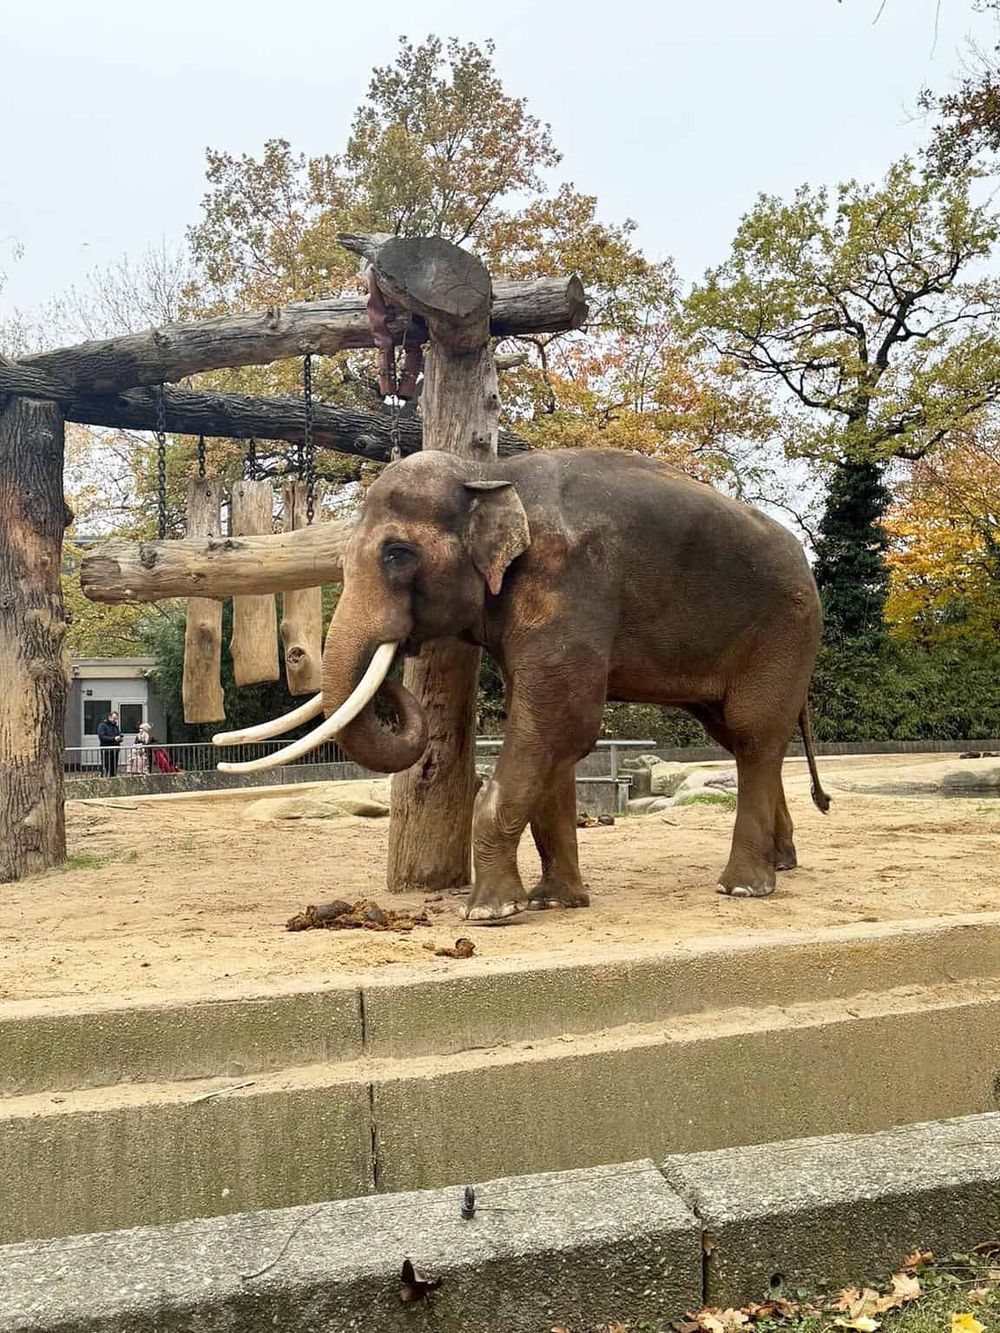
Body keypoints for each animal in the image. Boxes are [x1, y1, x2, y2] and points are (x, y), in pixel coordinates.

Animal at [220, 448, 830, 922]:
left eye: (398, 554)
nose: (398, 668)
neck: (489, 473)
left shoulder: (568, 584)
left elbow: (560, 721)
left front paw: (490, 912)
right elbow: (553, 737)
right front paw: (553, 901)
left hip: (786, 627)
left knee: (753, 733)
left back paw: (743, 887)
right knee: (742, 736)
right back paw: (782, 862)